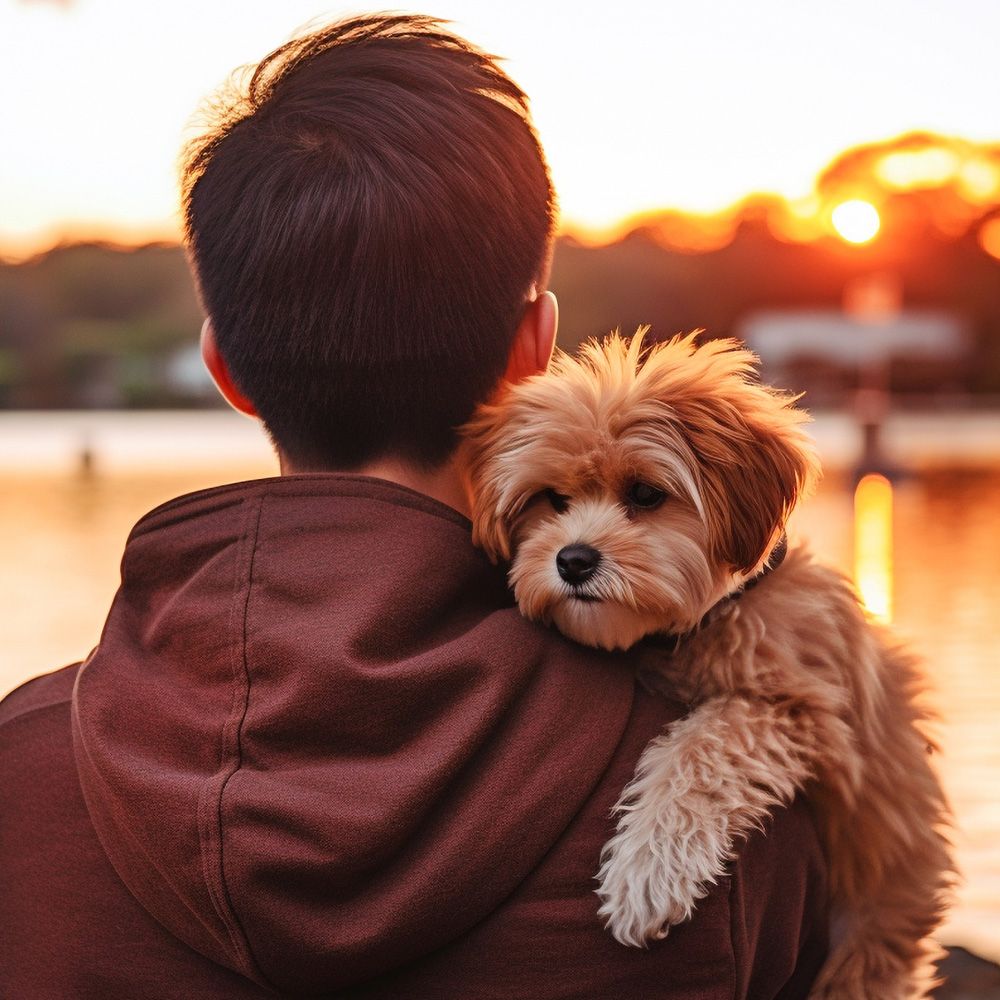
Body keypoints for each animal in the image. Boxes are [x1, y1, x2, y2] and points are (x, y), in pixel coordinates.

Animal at [458, 330, 952, 1000]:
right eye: (552, 500)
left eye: (645, 494)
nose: (573, 560)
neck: (711, 618)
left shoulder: (805, 712)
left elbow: (704, 747)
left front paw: (646, 870)